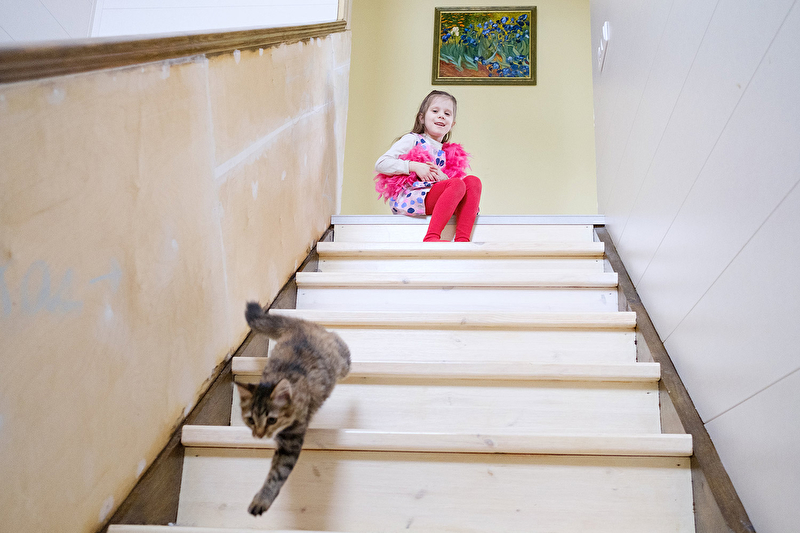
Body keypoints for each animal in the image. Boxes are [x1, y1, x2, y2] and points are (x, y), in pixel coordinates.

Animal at [234, 301, 351, 516]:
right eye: (250, 420)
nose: (259, 435)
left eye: (272, 419)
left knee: (339, 341)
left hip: (339, 359)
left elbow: (276, 475)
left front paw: (262, 499)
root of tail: (299, 325)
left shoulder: (290, 443)